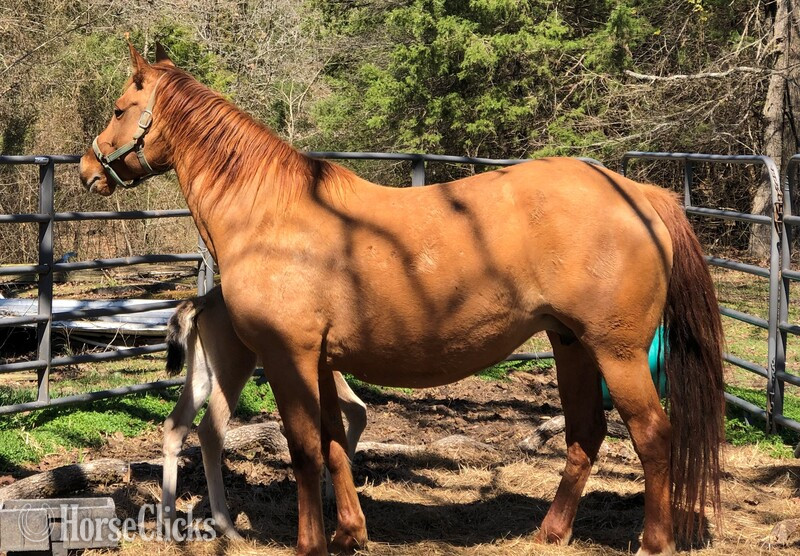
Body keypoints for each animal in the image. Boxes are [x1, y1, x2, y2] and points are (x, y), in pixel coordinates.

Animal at [161, 285, 367, 539]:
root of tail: (203, 300)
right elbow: (353, 413)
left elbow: (352, 413)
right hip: (234, 367)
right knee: (210, 430)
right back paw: (228, 528)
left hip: (202, 373)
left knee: (175, 424)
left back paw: (171, 524)